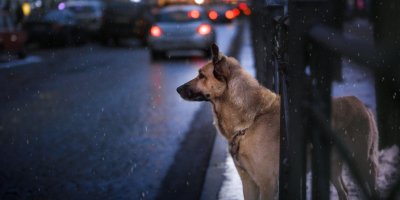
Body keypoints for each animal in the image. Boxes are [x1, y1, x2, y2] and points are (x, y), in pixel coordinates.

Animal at [176, 44, 378, 200]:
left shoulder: (267, 183)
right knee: (344, 191)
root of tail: (362, 105)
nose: (177, 89)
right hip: (333, 167)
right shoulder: (249, 181)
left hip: (362, 163)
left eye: (201, 75)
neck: (250, 120)